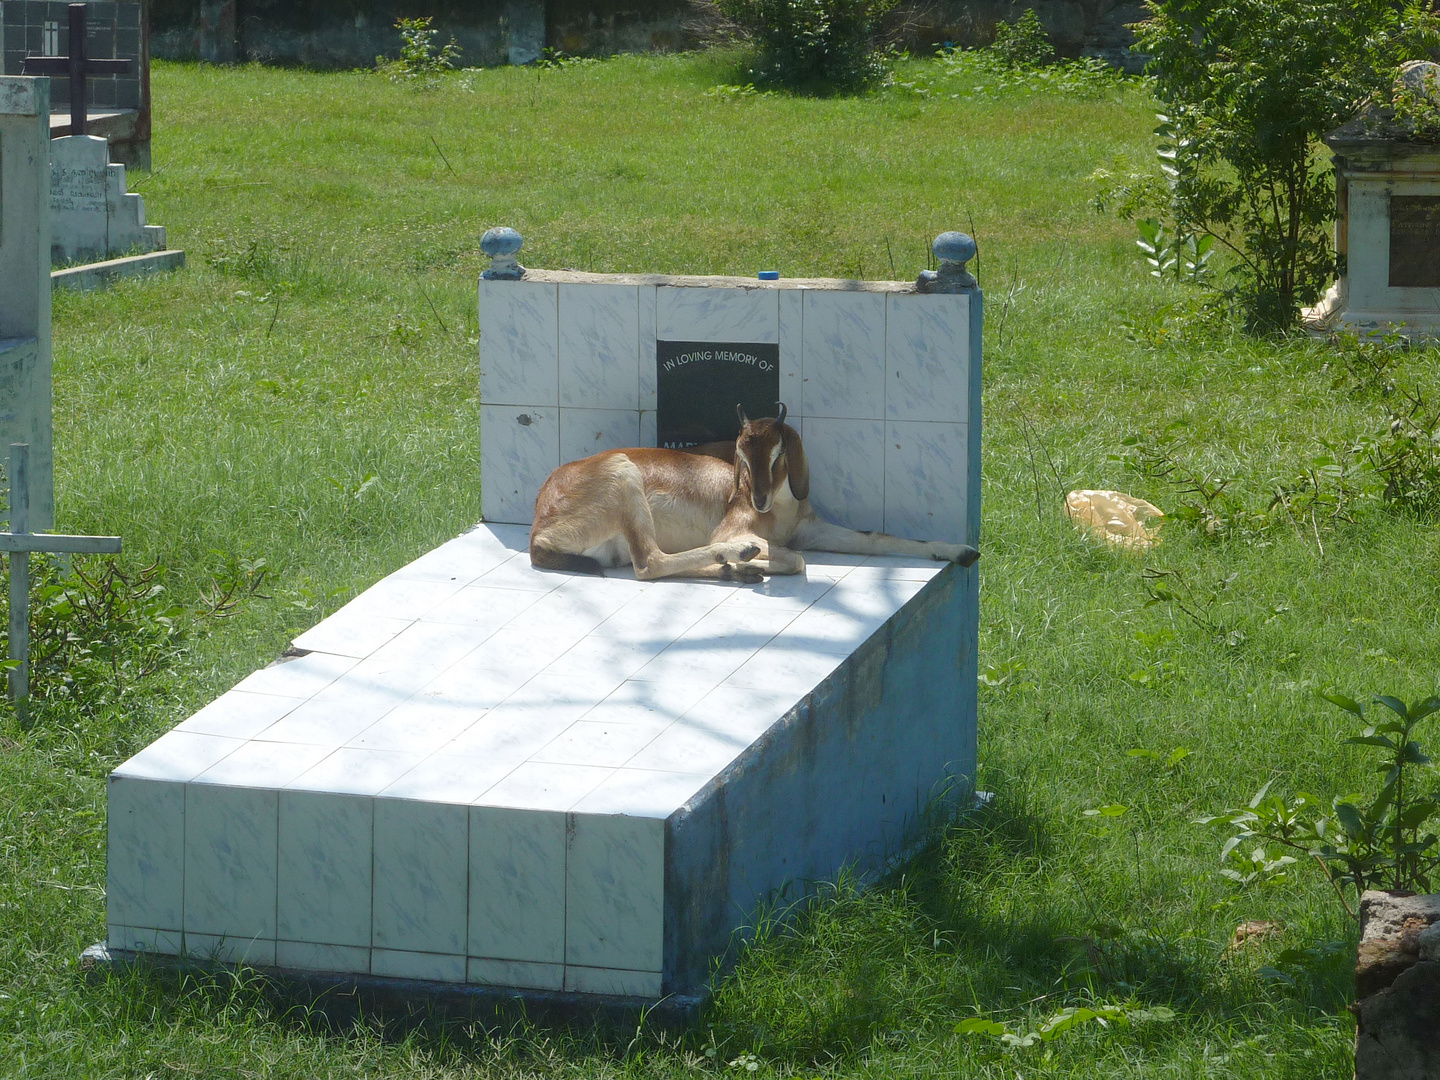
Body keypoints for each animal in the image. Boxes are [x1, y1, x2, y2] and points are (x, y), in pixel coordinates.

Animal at [529, 403, 979, 584]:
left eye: (779, 453)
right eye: (742, 454)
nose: (758, 499)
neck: (780, 509)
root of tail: (538, 531)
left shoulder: (810, 530)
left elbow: (878, 537)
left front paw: (962, 550)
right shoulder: (743, 529)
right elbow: (796, 560)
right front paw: (751, 556)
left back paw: (738, 569)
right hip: (623, 476)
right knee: (649, 564)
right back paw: (740, 559)